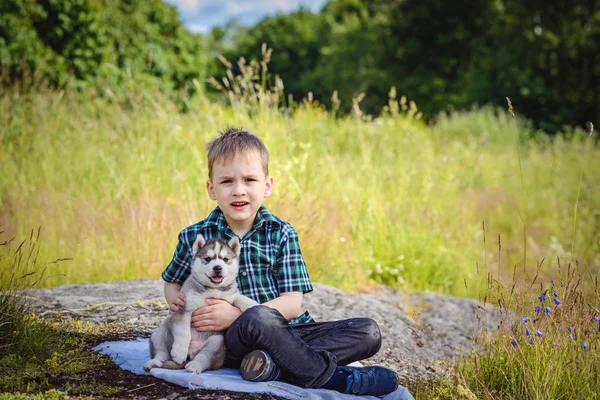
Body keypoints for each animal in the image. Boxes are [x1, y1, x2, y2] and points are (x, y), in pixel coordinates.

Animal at [146, 233, 258, 374]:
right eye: (208, 259)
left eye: (225, 259)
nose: (217, 268)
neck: (212, 289)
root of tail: (192, 353)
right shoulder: (184, 308)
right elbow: (183, 332)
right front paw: (179, 352)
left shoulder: (229, 296)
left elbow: (238, 297)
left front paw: (252, 304)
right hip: (159, 333)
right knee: (162, 353)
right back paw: (155, 362)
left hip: (217, 341)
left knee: (205, 357)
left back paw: (195, 365)